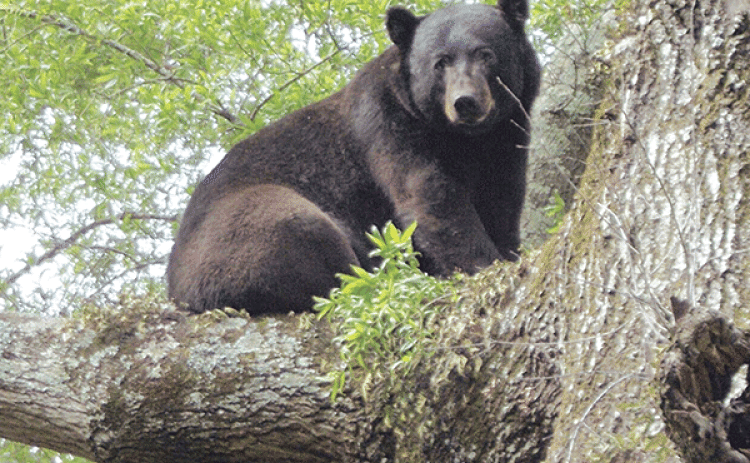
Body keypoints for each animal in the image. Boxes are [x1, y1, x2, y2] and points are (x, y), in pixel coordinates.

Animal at [167, 0, 541, 315]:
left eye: (486, 54)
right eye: (440, 62)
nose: (465, 102)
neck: (463, 139)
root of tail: (176, 289)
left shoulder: (507, 137)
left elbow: (501, 200)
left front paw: (506, 250)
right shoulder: (388, 127)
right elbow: (430, 197)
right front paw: (485, 265)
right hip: (235, 232)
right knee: (296, 228)